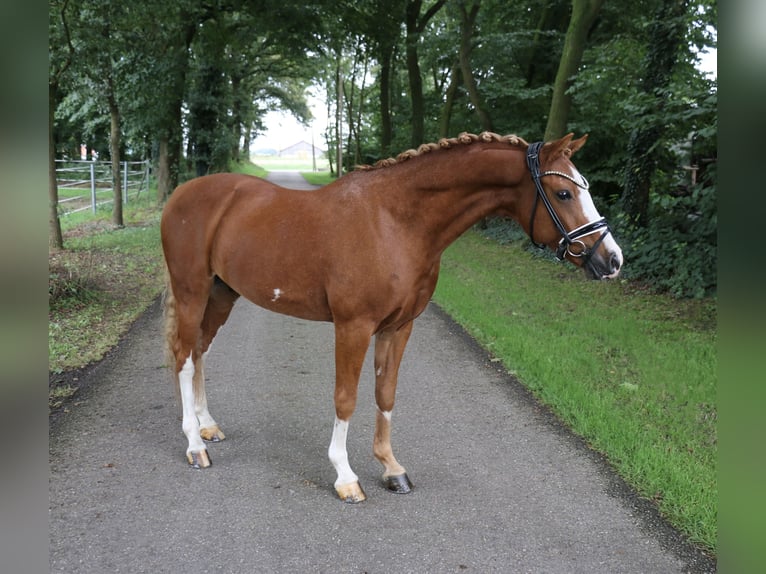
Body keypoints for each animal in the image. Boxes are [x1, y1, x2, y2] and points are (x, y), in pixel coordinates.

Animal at [162, 132, 624, 504]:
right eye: (563, 194)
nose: (612, 260)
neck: (395, 222)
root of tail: (181, 194)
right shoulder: (354, 326)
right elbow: (345, 398)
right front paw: (345, 476)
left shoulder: (399, 327)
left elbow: (385, 394)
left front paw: (391, 468)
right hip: (192, 291)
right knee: (184, 357)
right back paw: (194, 445)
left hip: (223, 292)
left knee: (200, 351)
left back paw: (208, 426)